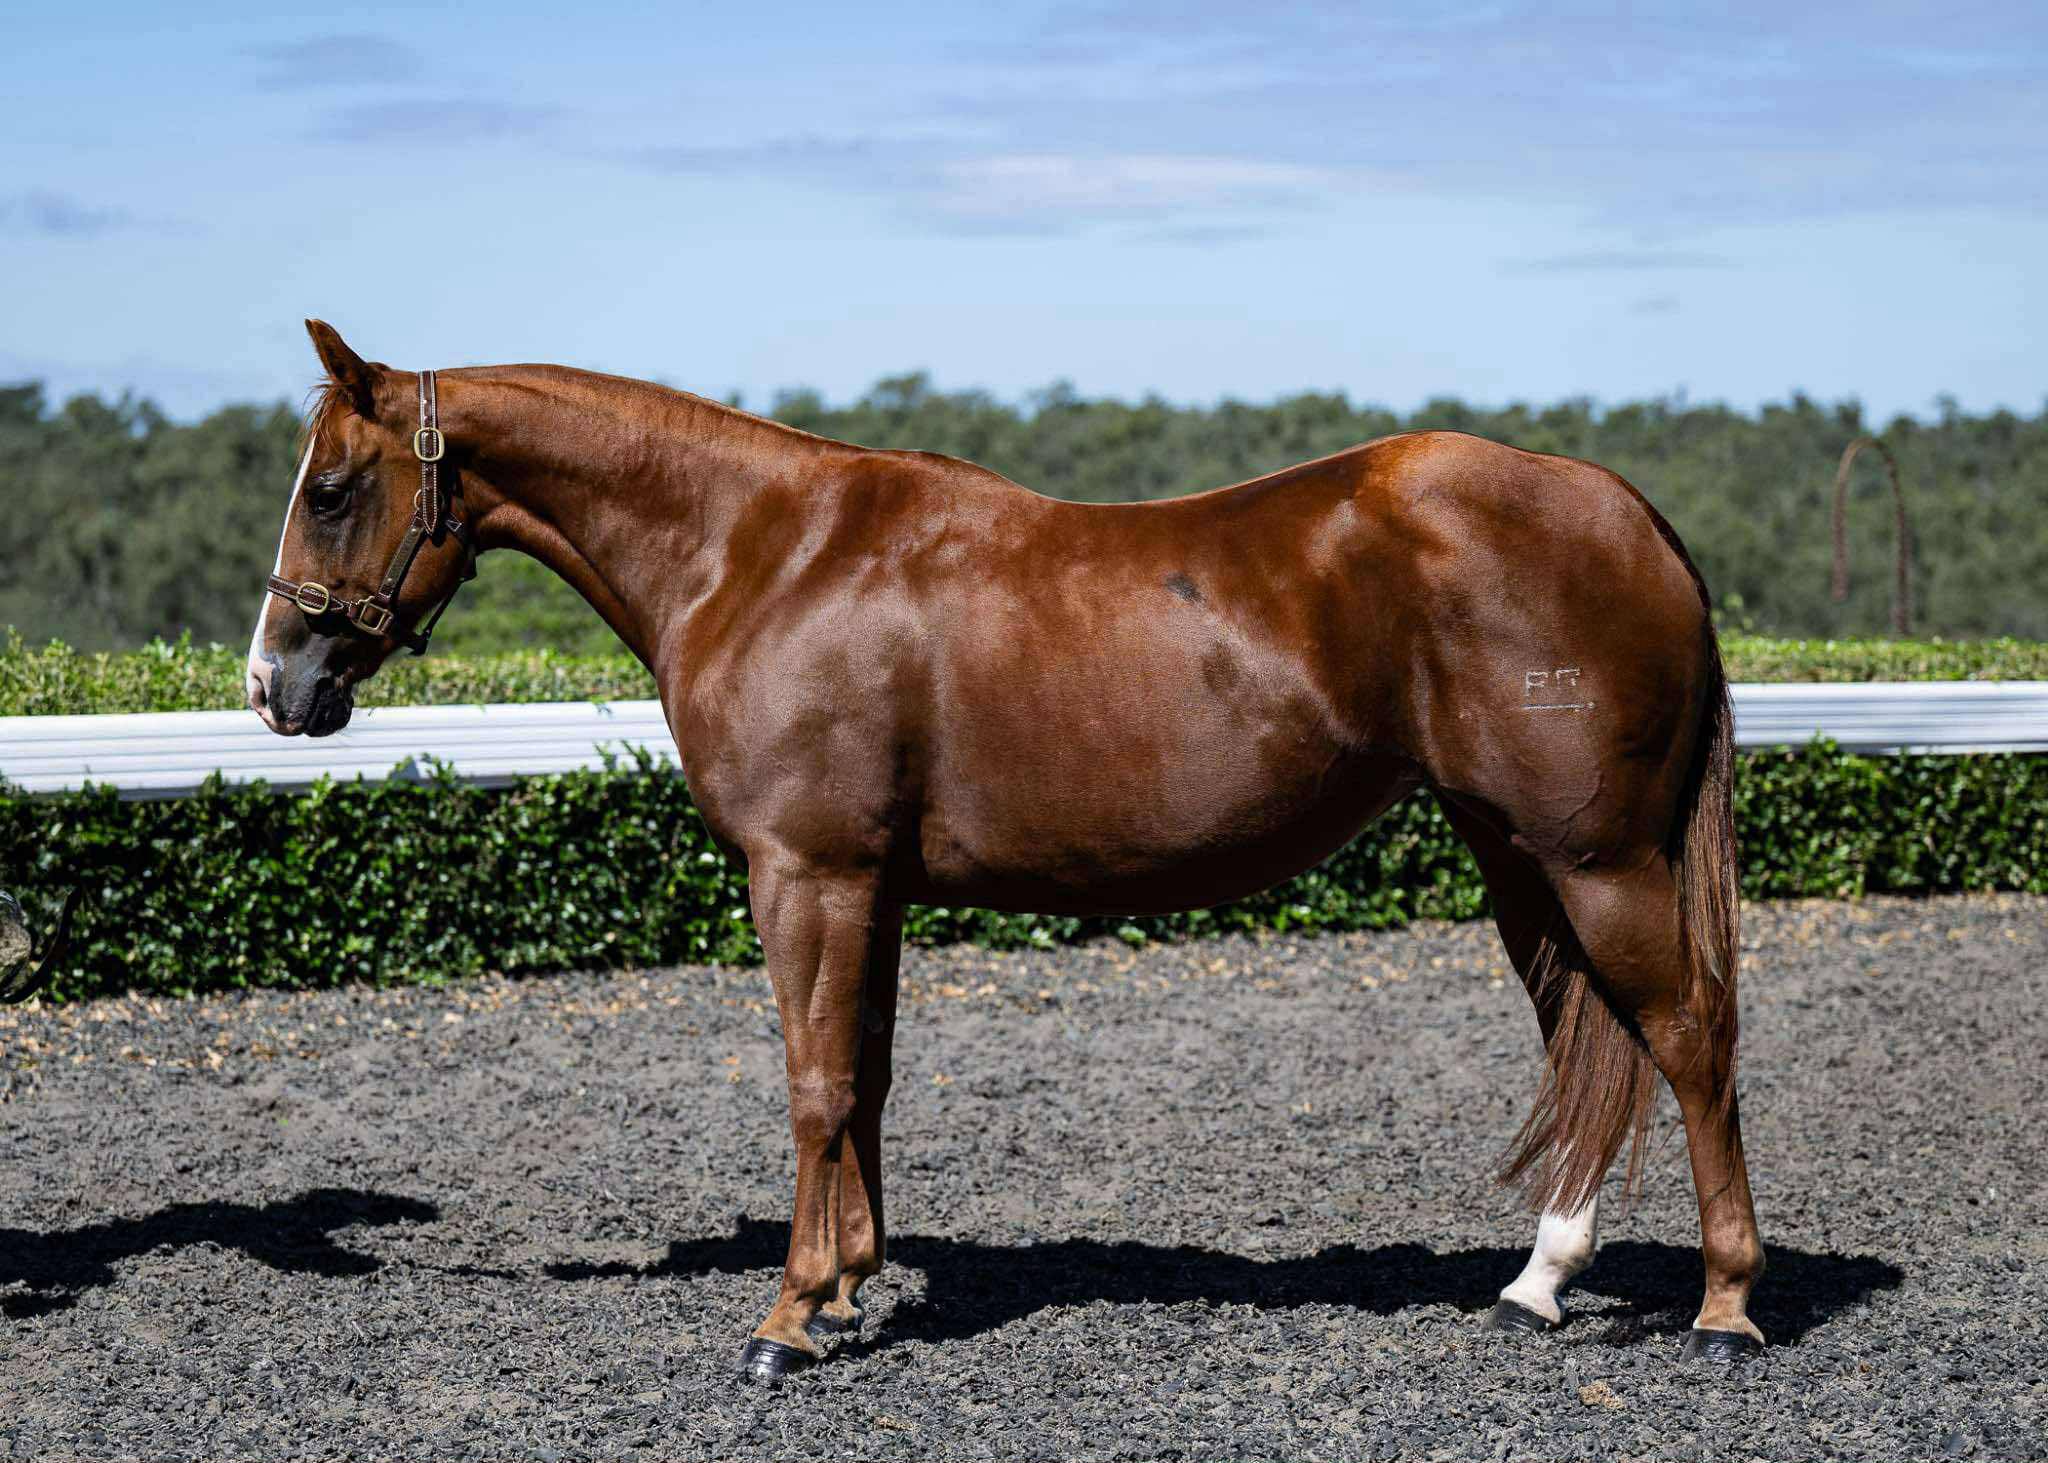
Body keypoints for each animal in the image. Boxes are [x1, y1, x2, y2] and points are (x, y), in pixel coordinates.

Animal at [247, 320, 1764, 1379]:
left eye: (330, 487)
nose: (277, 685)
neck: (763, 555)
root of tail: (1622, 509)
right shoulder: (871, 886)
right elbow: (864, 1076)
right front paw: (851, 1281)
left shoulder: (808, 873)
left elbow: (812, 1083)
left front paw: (784, 1321)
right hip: (1521, 859)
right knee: (1595, 1039)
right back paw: (1537, 1282)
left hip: (1598, 860)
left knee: (1688, 1034)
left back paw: (1725, 1305)